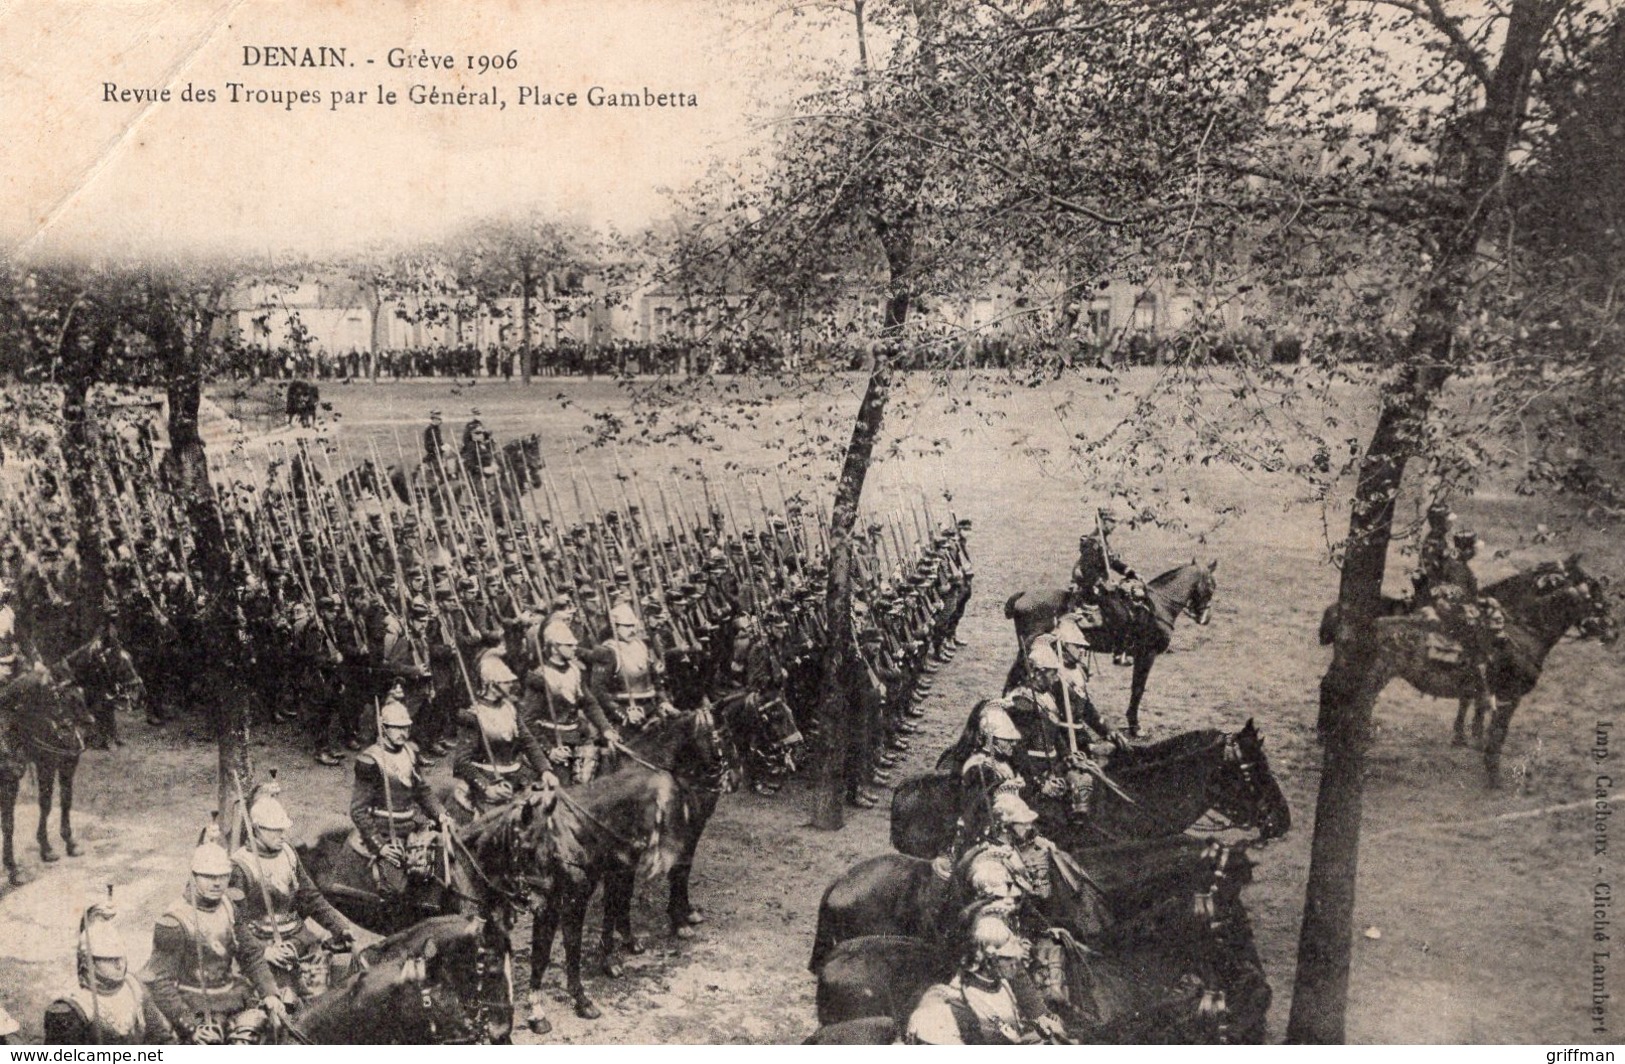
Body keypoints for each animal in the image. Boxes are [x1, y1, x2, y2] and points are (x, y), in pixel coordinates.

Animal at [0, 662, 92, 883]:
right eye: (60, 696)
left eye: (81, 691)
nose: (89, 722)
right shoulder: (43, 764)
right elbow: (14, 821)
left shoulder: (66, 761)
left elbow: (63, 800)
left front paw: (66, 844)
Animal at [1001, 562, 1222, 737]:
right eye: (1212, 586)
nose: (1206, 618)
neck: (1159, 606)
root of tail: (1023, 595)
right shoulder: (1146, 655)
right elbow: (1137, 689)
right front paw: (1135, 726)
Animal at [1313, 552, 1618, 786]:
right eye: (1596, 597)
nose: (1614, 632)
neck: (1521, 627)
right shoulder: (1508, 697)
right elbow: (1497, 734)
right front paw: (1492, 775)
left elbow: (1476, 710)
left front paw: (1468, 739)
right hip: (1372, 676)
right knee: (1341, 693)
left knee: (1330, 687)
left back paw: (1325, 736)